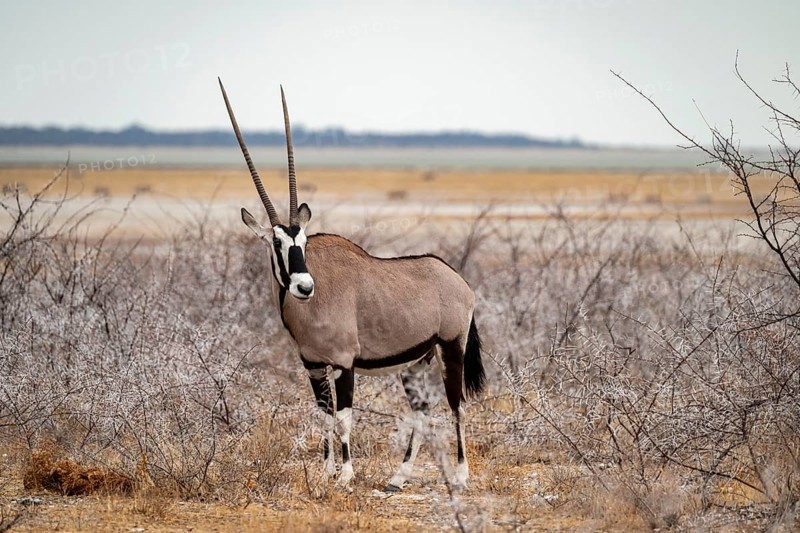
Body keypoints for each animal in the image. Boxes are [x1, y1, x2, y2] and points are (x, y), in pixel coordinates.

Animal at [218, 79, 485, 491]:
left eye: (303, 242)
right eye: (277, 243)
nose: (304, 287)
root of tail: (458, 279)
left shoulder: (345, 364)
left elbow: (343, 417)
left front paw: (345, 475)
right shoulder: (313, 365)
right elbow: (324, 415)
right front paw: (326, 471)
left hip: (450, 349)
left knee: (457, 406)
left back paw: (459, 476)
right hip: (416, 363)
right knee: (422, 413)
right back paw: (398, 477)